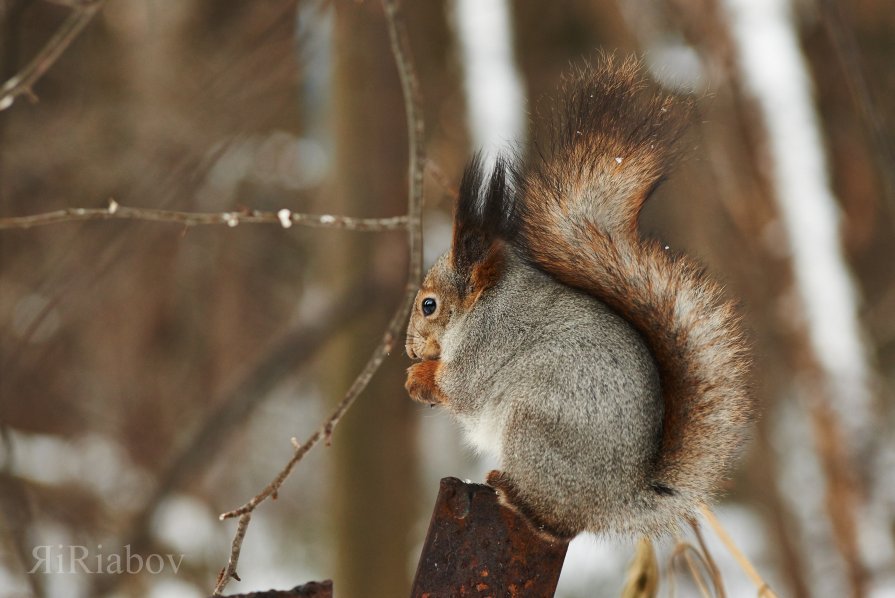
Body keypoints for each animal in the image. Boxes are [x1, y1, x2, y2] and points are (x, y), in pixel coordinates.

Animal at [406, 57, 756, 544]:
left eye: (429, 305)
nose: (407, 349)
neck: (484, 302)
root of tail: (619, 500)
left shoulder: (486, 342)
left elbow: (461, 386)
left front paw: (417, 378)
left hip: (534, 429)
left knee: (557, 525)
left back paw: (515, 495)